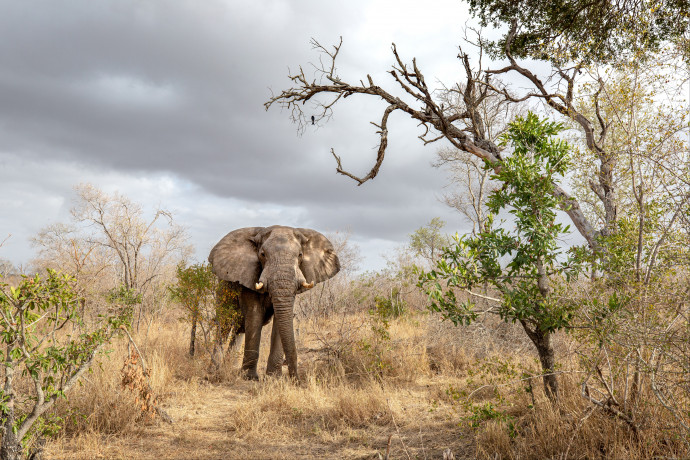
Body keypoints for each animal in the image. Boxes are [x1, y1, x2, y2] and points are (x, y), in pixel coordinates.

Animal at [208, 225, 340, 380]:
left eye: (300, 255)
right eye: (262, 254)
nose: (296, 379)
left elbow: (280, 319)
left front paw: (274, 377)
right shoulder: (249, 277)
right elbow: (255, 316)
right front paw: (250, 377)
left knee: (238, 330)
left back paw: (230, 368)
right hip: (221, 292)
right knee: (224, 326)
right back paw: (214, 371)